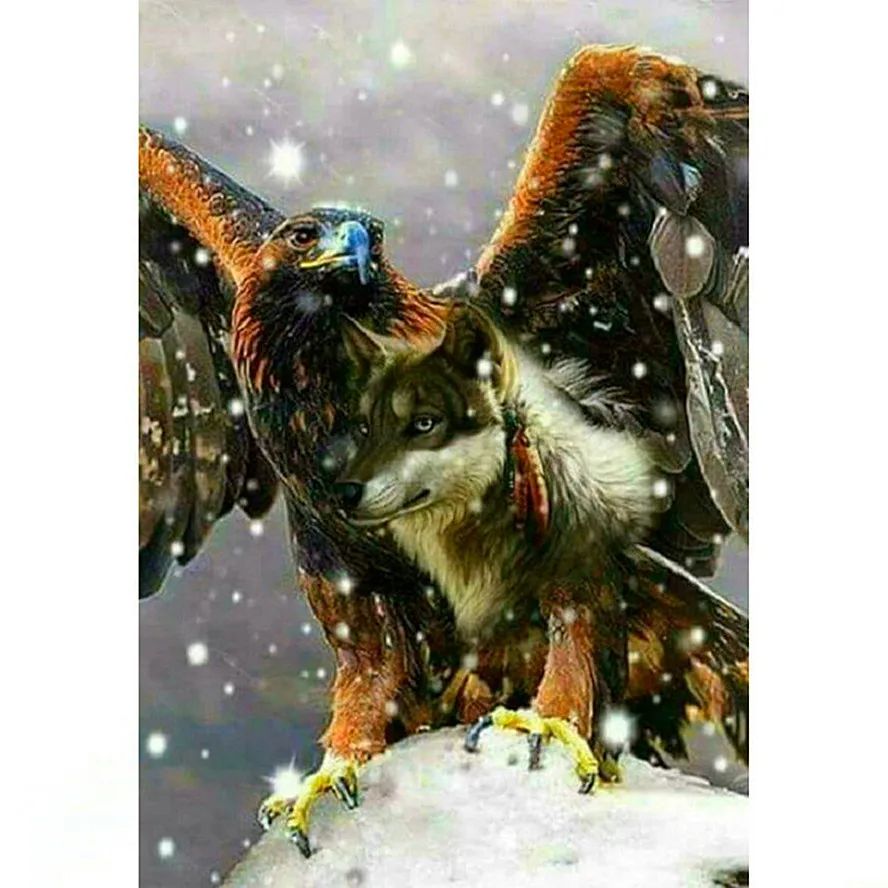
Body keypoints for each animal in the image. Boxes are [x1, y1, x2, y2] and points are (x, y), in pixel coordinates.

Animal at [336, 302, 679, 786]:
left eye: (423, 424)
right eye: (366, 428)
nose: (344, 492)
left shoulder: (577, 586)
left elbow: (570, 666)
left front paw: (548, 723)